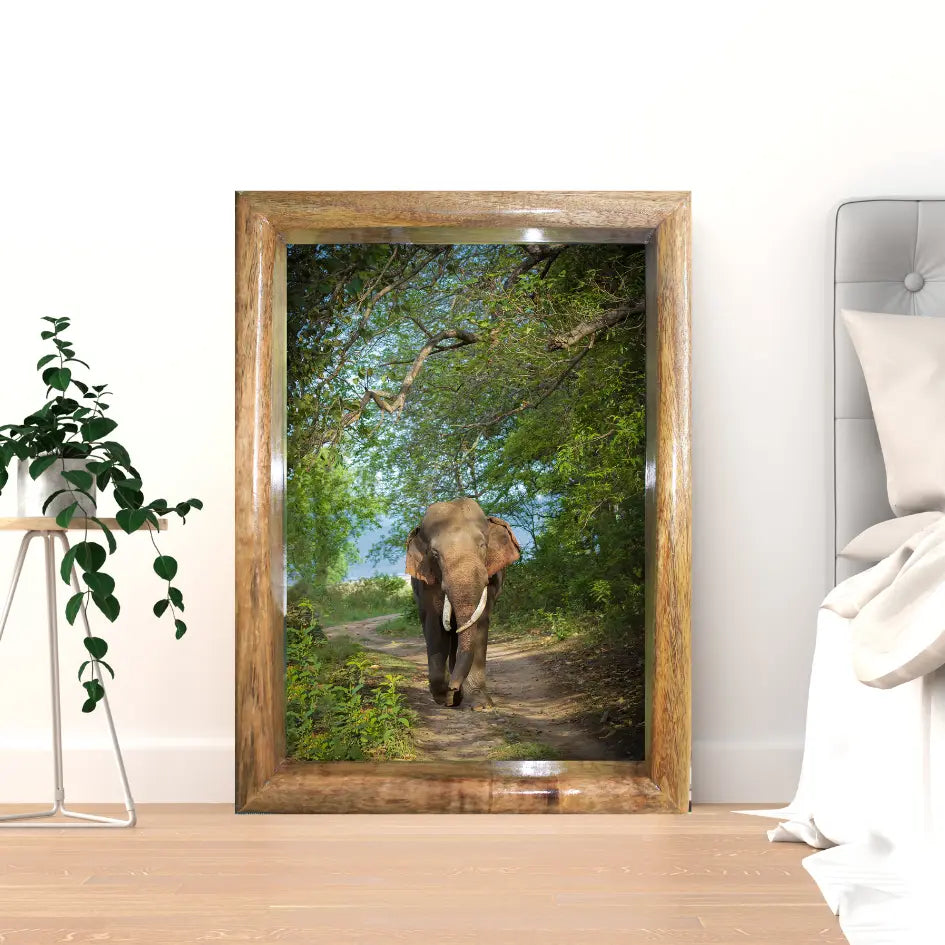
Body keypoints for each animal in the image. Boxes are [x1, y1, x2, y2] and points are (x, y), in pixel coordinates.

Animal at [405, 498, 521, 709]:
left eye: (482, 545)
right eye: (435, 554)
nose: (452, 686)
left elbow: (479, 623)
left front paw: (480, 704)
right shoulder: (427, 584)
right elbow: (435, 625)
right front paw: (443, 698)